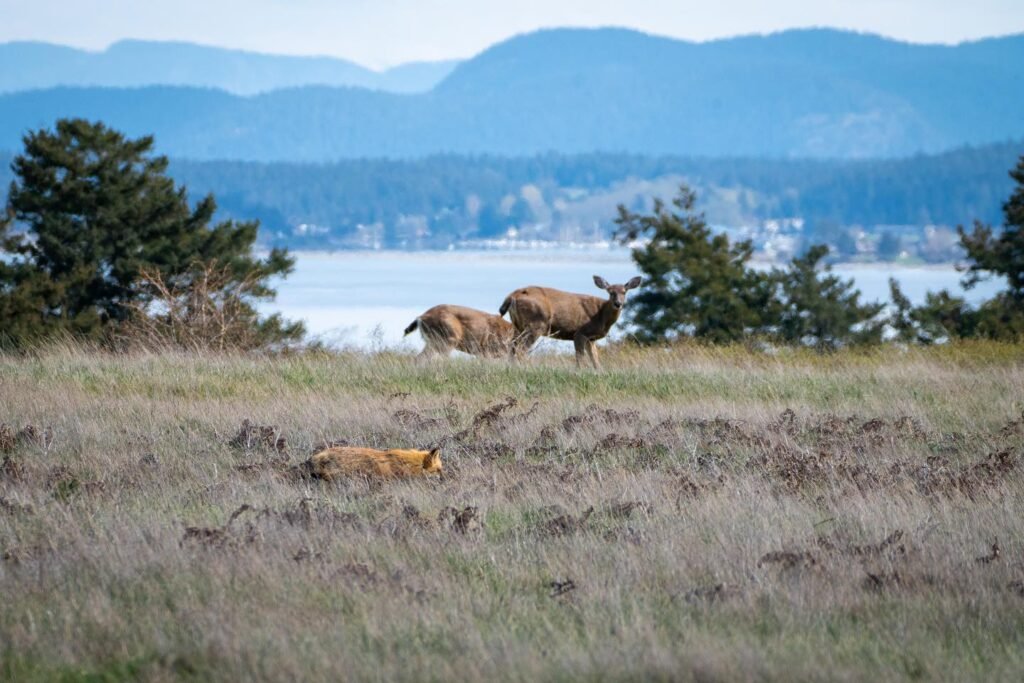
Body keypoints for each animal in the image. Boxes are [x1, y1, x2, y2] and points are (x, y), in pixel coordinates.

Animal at [499, 275, 642, 369]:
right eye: (610, 292)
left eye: (624, 291)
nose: (618, 303)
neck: (601, 316)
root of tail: (512, 296)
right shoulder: (580, 332)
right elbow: (580, 357)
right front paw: (579, 372)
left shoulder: (591, 338)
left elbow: (595, 359)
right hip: (536, 324)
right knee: (520, 349)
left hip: (518, 325)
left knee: (512, 346)